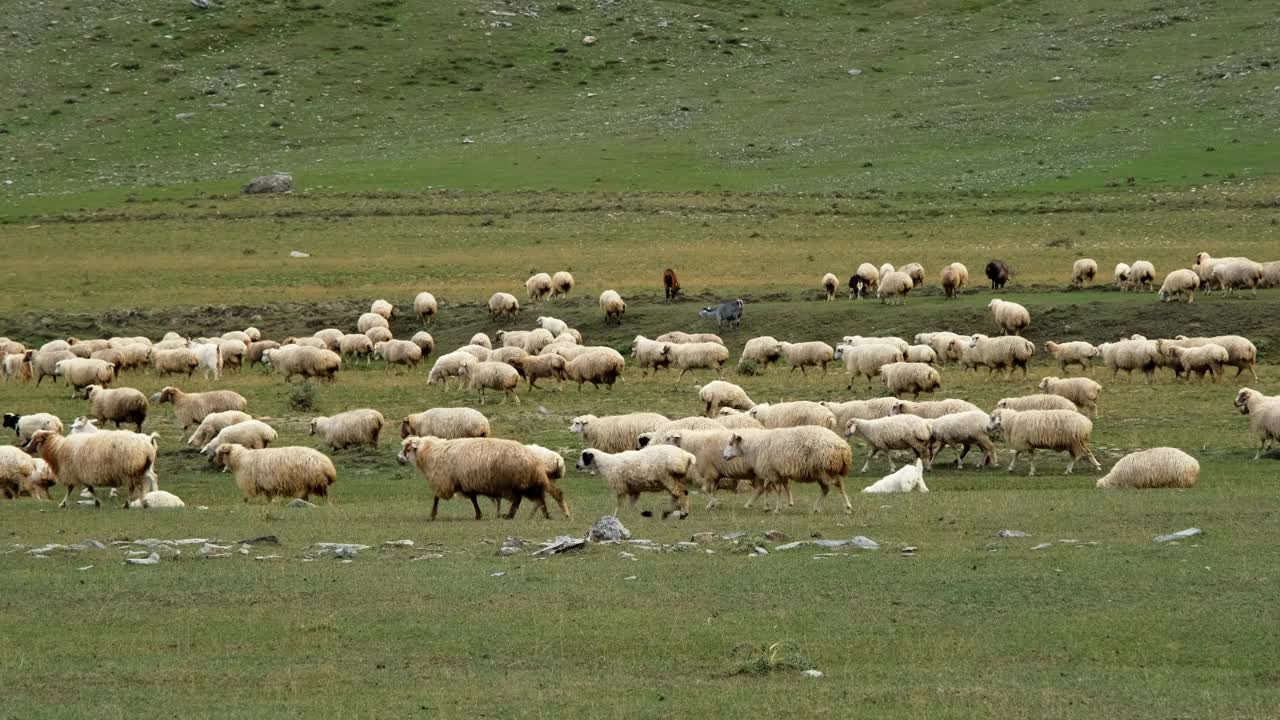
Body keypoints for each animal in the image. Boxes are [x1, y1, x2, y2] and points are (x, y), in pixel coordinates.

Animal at [24, 427, 158, 507]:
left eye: (35, 439)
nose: (25, 449)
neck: (57, 449)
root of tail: (147, 442)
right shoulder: (82, 473)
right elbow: (90, 488)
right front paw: (98, 502)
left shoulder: (73, 471)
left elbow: (71, 489)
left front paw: (63, 503)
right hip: (141, 469)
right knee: (146, 483)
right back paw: (143, 500)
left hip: (131, 469)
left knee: (134, 486)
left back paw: (128, 503)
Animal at [394, 435, 565, 517]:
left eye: (407, 448)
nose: (398, 459)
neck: (431, 452)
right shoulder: (465, 481)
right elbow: (473, 498)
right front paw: (478, 514)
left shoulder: (444, 479)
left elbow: (436, 497)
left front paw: (433, 514)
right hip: (528, 483)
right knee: (541, 498)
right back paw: (546, 515)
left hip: (517, 482)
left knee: (520, 500)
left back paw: (509, 515)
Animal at [727, 422, 855, 512]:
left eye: (731, 443)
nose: (724, 456)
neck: (755, 446)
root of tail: (844, 447)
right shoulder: (777, 472)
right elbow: (775, 487)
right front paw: (774, 505)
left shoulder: (772, 472)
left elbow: (777, 489)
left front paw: (777, 509)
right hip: (822, 472)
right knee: (827, 489)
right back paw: (816, 508)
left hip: (826, 469)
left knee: (838, 485)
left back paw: (847, 506)